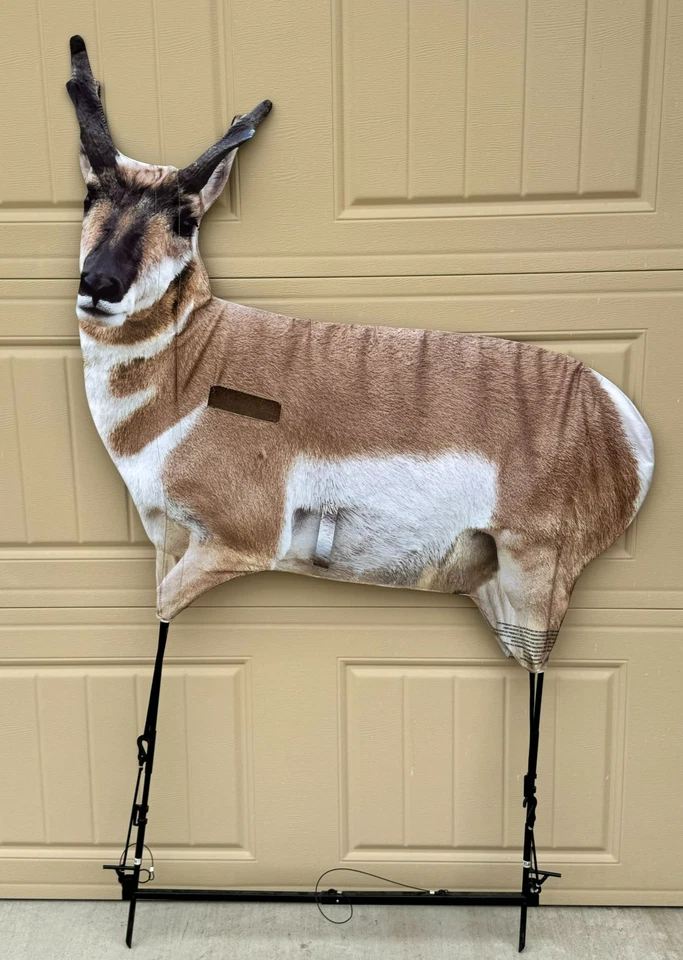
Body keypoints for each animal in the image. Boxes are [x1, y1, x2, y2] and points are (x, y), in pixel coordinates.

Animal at [67, 36, 654, 673]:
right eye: (90, 194)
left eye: (185, 217)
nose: (99, 283)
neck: (201, 359)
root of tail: (618, 414)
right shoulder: (168, 543)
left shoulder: (235, 543)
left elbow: (163, 615)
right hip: (494, 590)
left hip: (532, 583)